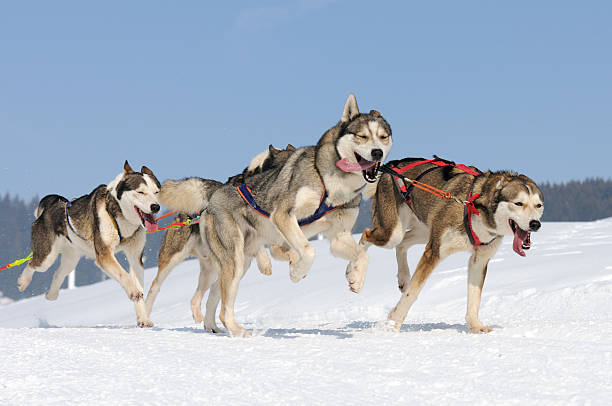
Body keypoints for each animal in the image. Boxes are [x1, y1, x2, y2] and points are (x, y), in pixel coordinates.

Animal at [18, 161, 163, 326]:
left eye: (156, 192)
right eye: (141, 192)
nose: (156, 207)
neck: (120, 216)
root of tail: (54, 204)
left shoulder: (135, 256)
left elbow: (138, 285)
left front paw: (143, 318)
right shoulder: (104, 255)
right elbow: (124, 275)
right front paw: (133, 291)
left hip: (71, 259)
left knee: (58, 273)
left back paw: (51, 294)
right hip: (47, 257)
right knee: (33, 263)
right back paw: (23, 282)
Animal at [160, 95, 394, 336]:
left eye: (383, 137)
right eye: (362, 136)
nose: (377, 152)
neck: (331, 186)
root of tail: (216, 193)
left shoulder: (339, 236)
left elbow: (363, 255)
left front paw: (356, 278)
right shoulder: (283, 216)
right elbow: (308, 250)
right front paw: (297, 272)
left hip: (240, 262)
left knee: (217, 293)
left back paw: (213, 326)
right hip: (233, 258)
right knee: (225, 306)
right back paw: (238, 331)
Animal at [360, 156, 544, 334]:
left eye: (538, 205)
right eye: (518, 203)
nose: (535, 224)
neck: (475, 208)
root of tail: (393, 164)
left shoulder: (479, 260)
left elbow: (475, 297)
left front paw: (476, 326)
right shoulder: (434, 252)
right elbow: (413, 292)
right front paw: (393, 324)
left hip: (424, 231)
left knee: (402, 243)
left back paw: (403, 277)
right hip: (393, 233)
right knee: (366, 236)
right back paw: (356, 276)